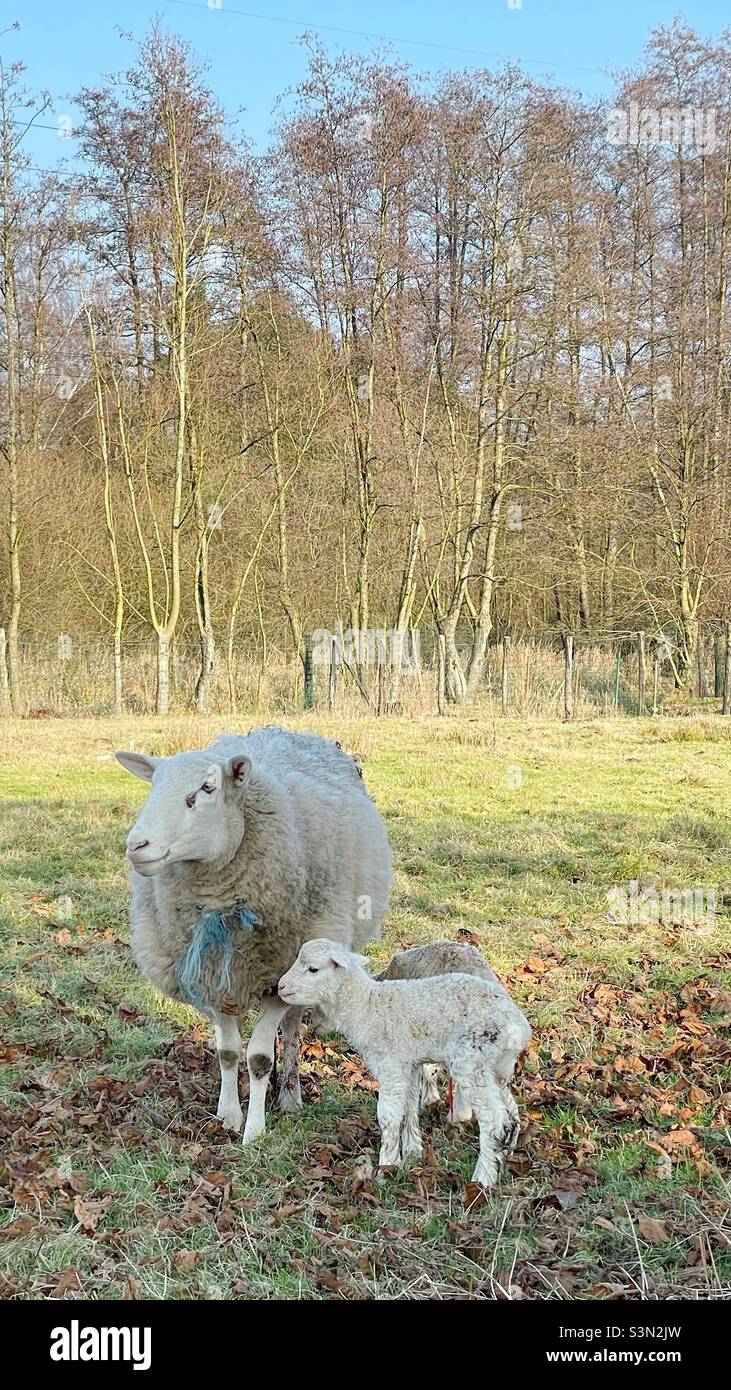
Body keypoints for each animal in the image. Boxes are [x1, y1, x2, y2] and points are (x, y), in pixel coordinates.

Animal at [115, 726, 392, 1145]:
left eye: (208, 788)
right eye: (153, 785)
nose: (137, 846)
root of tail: (286, 730)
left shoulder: (278, 979)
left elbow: (259, 1057)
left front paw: (255, 1130)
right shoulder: (212, 976)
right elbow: (229, 1052)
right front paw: (228, 1116)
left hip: (303, 968)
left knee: (291, 1030)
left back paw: (290, 1093)